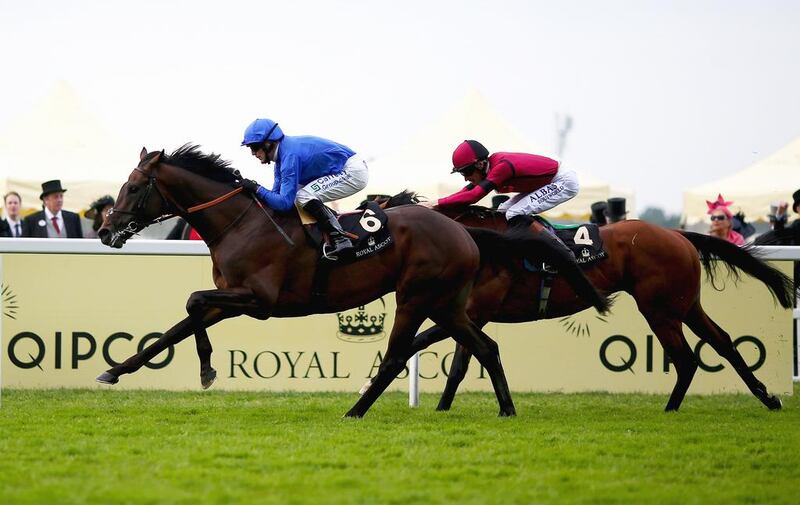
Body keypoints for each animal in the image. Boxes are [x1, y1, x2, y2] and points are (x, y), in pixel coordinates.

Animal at [97, 144, 608, 416]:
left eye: (135, 187)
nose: (104, 230)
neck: (241, 221)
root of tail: (464, 230)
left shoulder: (258, 299)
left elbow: (191, 302)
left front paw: (205, 369)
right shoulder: (230, 298)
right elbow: (178, 327)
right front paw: (116, 370)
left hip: (415, 296)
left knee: (399, 353)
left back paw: (356, 410)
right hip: (449, 304)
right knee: (485, 347)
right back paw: (506, 408)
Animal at [368, 192, 792, 410]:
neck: (479, 241)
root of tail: (676, 234)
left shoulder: (474, 310)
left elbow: (431, 345)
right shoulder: (467, 313)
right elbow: (459, 365)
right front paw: (442, 409)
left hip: (660, 309)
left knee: (687, 358)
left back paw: (671, 409)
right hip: (685, 305)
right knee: (723, 342)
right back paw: (767, 397)